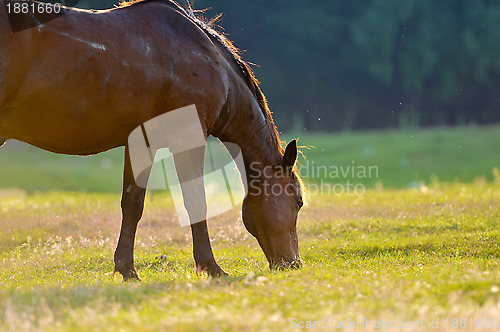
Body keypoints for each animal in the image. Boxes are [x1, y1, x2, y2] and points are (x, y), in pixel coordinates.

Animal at [0, 0, 304, 280]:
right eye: (298, 201)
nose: (294, 264)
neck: (207, 59)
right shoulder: (188, 138)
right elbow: (196, 201)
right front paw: (211, 267)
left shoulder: (141, 143)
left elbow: (133, 204)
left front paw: (126, 269)